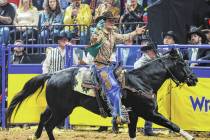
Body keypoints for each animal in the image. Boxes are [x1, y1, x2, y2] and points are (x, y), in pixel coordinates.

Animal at [6, 49, 197, 139]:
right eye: (182, 63)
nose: (194, 79)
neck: (142, 81)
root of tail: (52, 74)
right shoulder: (150, 113)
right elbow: (173, 125)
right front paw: (191, 136)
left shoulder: (134, 115)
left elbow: (133, 134)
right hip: (62, 110)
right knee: (49, 125)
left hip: (55, 107)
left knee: (42, 117)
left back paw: (35, 136)